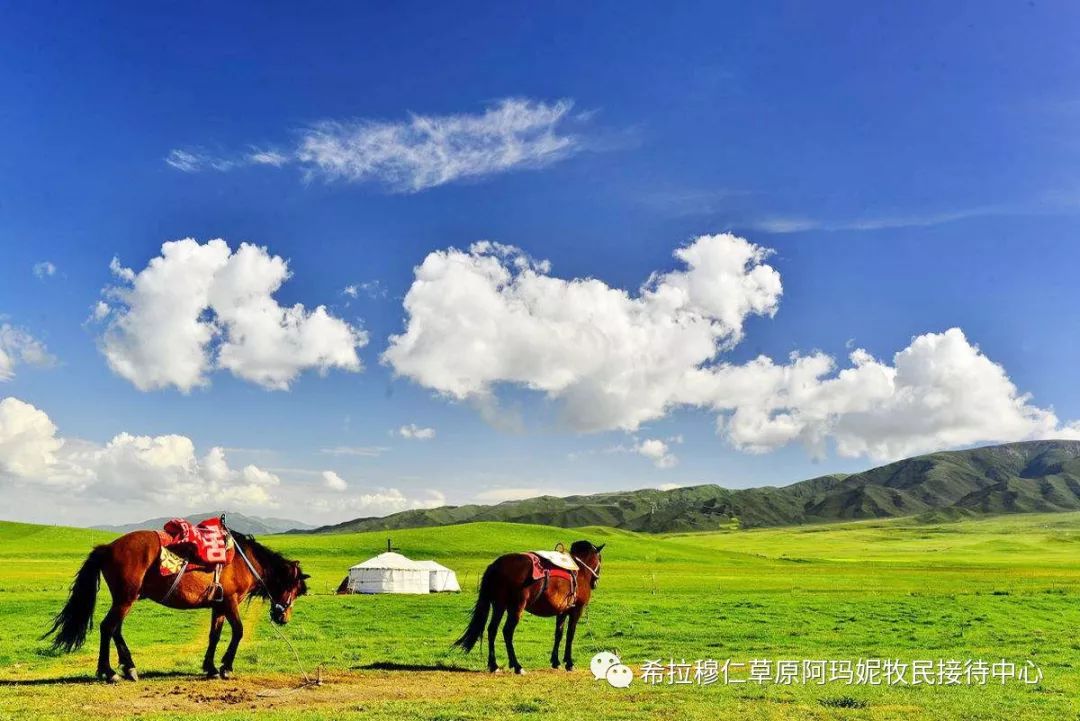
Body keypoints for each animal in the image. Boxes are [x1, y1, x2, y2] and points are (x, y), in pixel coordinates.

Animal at [42, 511, 308, 682]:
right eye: (293, 588)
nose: (283, 617)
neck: (244, 561)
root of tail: (107, 547)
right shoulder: (231, 601)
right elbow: (238, 632)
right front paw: (226, 667)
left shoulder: (218, 605)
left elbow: (214, 635)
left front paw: (210, 667)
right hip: (126, 598)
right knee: (108, 627)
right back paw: (109, 672)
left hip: (126, 598)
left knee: (115, 629)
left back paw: (129, 668)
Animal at [451, 539, 604, 677]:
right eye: (600, 560)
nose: (596, 582)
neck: (580, 570)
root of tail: (496, 566)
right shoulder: (576, 610)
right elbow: (570, 635)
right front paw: (569, 663)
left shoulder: (562, 611)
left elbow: (559, 634)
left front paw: (556, 662)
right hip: (516, 607)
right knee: (507, 631)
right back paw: (517, 666)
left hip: (499, 605)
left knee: (492, 630)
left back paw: (494, 665)